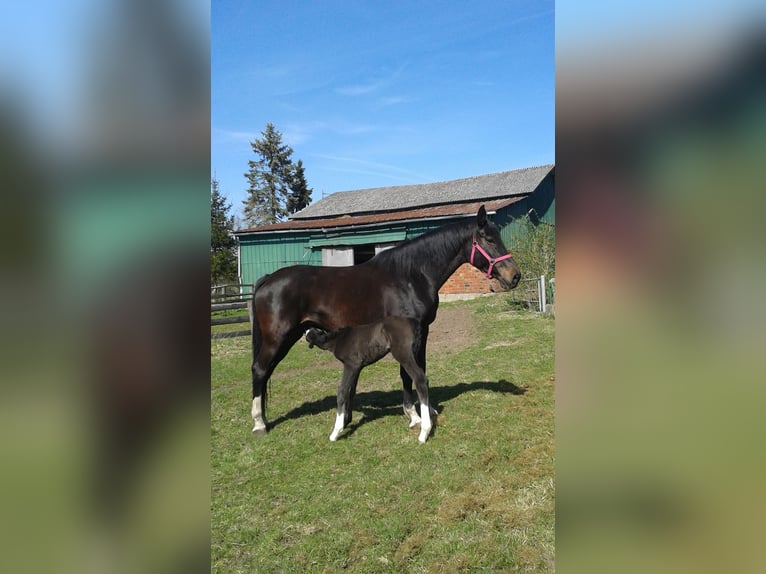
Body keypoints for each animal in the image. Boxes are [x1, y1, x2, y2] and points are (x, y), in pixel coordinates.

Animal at [249, 204, 521, 435]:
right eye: (489, 239)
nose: (514, 275)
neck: (410, 275)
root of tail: (268, 279)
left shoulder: (423, 331)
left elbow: (420, 368)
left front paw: (428, 410)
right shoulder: (405, 334)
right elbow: (407, 373)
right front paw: (414, 416)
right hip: (277, 337)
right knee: (260, 370)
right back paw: (259, 424)